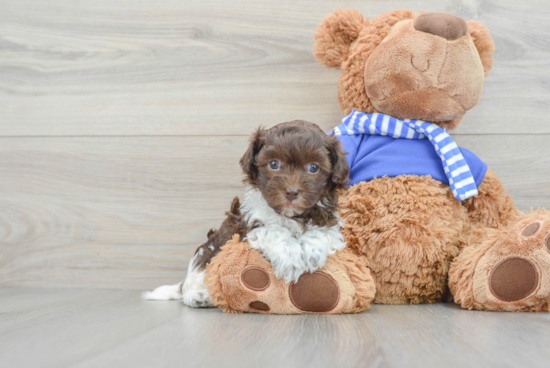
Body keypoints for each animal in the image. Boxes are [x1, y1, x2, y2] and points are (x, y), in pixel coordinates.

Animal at [143, 121, 350, 308]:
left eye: (313, 167)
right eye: (274, 164)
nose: (292, 192)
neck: (290, 215)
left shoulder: (330, 223)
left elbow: (320, 233)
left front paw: (311, 253)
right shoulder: (249, 226)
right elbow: (274, 231)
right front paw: (290, 258)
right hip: (208, 251)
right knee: (195, 278)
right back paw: (200, 296)